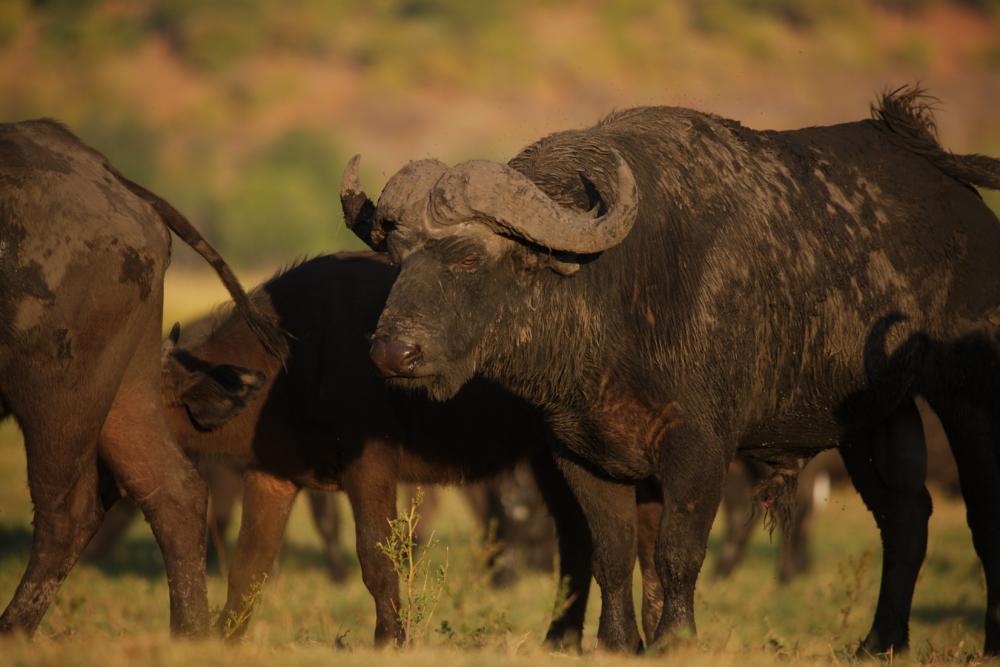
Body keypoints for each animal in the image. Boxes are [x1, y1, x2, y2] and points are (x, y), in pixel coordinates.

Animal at [0, 120, 284, 636]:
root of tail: (98, 164)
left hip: (56, 395)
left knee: (66, 513)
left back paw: (12, 631)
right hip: (121, 395)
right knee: (175, 492)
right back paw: (189, 635)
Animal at [343, 87, 1000, 654]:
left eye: (467, 258)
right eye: (397, 256)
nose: (391, 353)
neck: (614, 290)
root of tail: (962, 201)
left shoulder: (700, 448)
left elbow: (676, 552)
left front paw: (674, 640)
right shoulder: (579, 452)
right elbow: (612, 554)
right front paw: (616, 643)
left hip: (969, 401)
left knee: (979, 514)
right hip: (875, 421)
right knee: (906, 517)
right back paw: (879, 642)